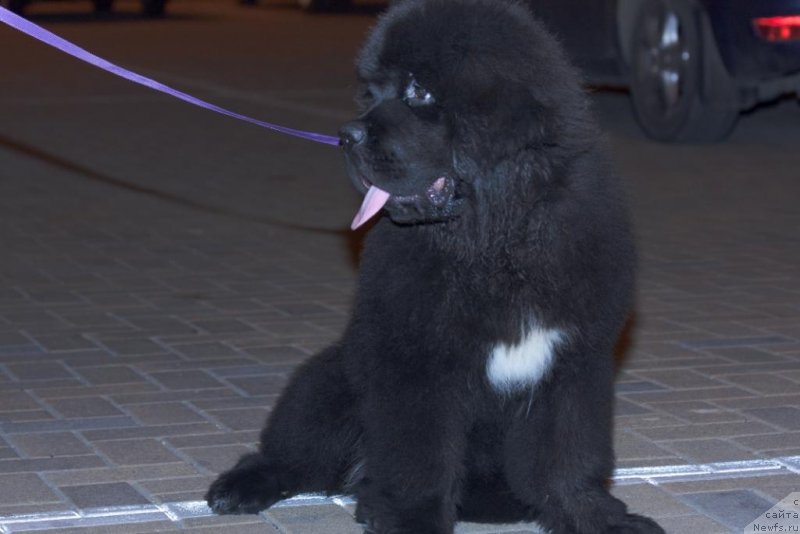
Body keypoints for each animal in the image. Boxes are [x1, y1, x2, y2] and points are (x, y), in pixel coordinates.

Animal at [206, 1, 664, 534]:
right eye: (372, 93)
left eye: (418, 92)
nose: (346, 135)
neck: (496, 244)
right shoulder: (416, 362)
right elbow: (419, 458)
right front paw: (413, 520)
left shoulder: (572, 361)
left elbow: (566, 455)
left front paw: (591, 515)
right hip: (331, 377)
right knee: (291, 452)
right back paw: (243, 487)